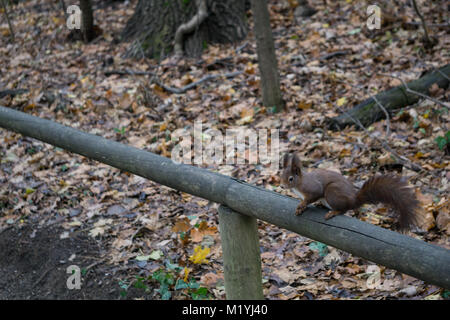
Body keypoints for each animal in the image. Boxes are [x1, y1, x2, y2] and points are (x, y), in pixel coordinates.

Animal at [280, 153, 420, 230]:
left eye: (290, 178)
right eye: (281, 175)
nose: (281, 186)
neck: (299, 184)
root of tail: (353, 200)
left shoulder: (313, 188)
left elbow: (312, 196)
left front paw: (301, 205)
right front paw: (301, 206)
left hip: (332, 192)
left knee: (344, 209)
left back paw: (333, 212)